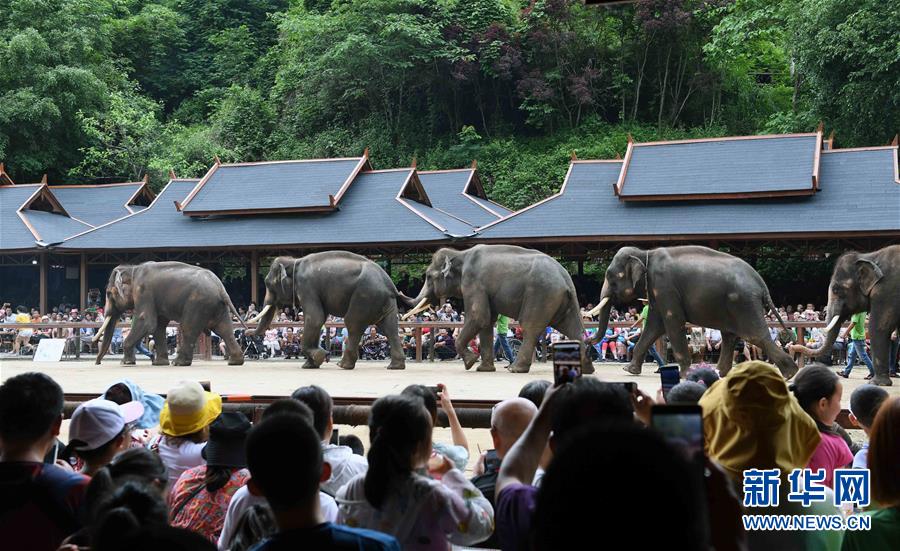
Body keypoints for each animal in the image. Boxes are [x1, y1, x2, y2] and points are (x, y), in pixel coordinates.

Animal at [94, 262, 246, 366]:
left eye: (108, 293)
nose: (97, 363)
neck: (132, 269)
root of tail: (220, 287)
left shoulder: (144, 292)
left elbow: (146, 322)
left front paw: (125, 363)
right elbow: (158, 327)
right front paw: (159, 363)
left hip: (198, 303)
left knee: (188, 328)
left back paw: (179, 363)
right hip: (217, 306)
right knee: (224, 329)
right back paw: (235, 361)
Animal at [248, 251, 414, 370]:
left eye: (269, 284)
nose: (247, 332)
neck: (295, 261)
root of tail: (390, 284)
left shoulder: (307, 286)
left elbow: (315, 318)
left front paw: (320, 356)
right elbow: (318, 320)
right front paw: (310, 365)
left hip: (365, 296)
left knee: (353, 324)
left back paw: (343, 365)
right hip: (384, 302)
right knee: (390, 328)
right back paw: (395, 366)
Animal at [404, 246, 596, 376]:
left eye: (429, 276)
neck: (460, 253)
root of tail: (566, 278)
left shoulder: (473, 283)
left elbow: (478, 317)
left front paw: (470, 362)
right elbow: (487, 322)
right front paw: (483, 369)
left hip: (541, 294)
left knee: (530, 328)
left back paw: (515, 369)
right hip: (560, 300)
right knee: (573, 329)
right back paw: (586, 370)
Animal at [592, 248, 796, 382]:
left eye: (610, 277)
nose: (587, 341)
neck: (646, 253)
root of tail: (761, 283)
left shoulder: (665, 287)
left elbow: (672, 322)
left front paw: (685, 375)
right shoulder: (658, 291)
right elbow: (654, 326)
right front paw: (629, 370)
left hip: (744, 303)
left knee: (755, 335)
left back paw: (790, 374)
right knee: (729, 335)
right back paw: (719, 374)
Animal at [796, 246, 900, 388]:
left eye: (836, 290)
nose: (791, 347)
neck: (870, 256)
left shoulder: (886, 291)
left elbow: (878, 328)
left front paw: (877, 384)